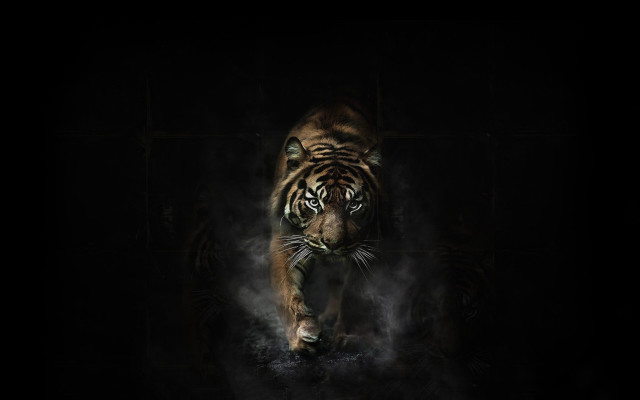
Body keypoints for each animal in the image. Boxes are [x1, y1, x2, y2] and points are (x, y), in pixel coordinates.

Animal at [269, 100, 382, 354]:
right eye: (314, 202)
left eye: (354, 204)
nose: (332, 243)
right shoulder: (286, 239)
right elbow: (287, 291)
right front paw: (302, 335)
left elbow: (353, 293)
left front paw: (350, 336)